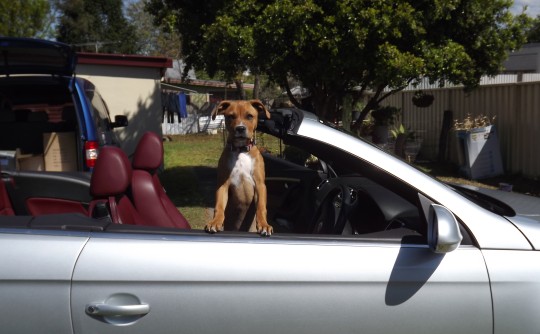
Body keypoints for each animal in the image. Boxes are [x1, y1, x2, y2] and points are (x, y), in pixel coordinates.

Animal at [206, 99, 274, 235]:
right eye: (230, 116)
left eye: (250, 116)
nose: (240, 128)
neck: (241, 150)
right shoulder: (223, 185)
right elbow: (219, 206)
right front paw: (215, 222)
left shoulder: (260, 185)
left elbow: (261, 207)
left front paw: (264, 225)